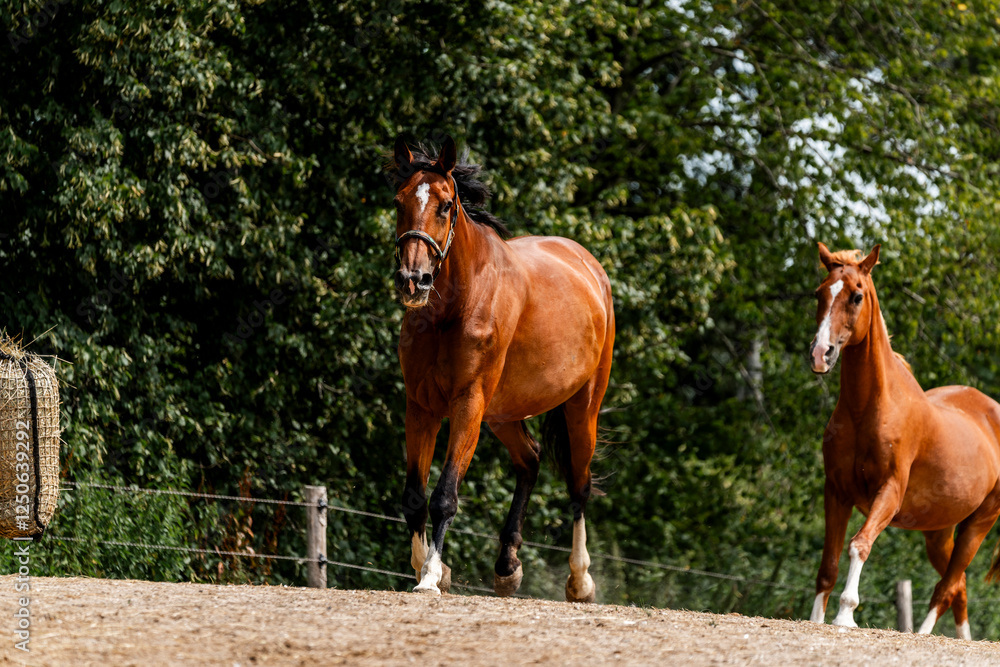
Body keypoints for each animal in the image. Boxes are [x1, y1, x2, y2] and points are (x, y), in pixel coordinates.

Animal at [388, 135, 615, 600]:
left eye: (445, 205)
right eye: (399, 201)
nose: (413, 280)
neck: (456, 306)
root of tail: (590, 267)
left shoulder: (468, 403)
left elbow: (444, 495)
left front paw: (431, 576)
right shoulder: (420, 407)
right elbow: (414, 497)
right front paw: (426, 567)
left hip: (582, 407)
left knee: (579, 486)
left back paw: (580, 580)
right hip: (503, 413)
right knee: (530, 461)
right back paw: (507, 566)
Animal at [807, 242, 1000, 639]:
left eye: (857, 296)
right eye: (819, 293)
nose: (821, 354)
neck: (869, 410)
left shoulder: (889, 492)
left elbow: (859, 545)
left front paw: (845, 615)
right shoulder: (836, 490)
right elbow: (828, 562)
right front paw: (816, 618)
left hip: (979, 525)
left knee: (947, 588)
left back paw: (923, 633)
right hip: (939, 532)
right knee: (958, 588)